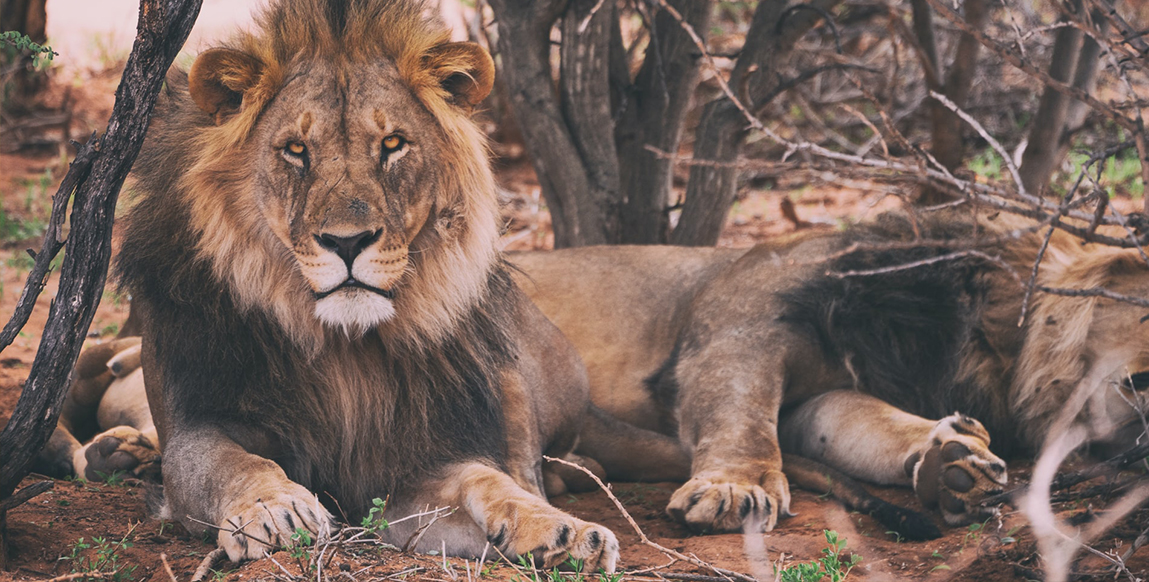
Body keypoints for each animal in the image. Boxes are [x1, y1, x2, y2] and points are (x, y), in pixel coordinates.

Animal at [517, 212, 1149, 534]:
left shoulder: (831, 393)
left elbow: (868, 426)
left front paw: (958, 465)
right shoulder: (745, 318)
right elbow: (741, 411)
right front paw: (736, 487)